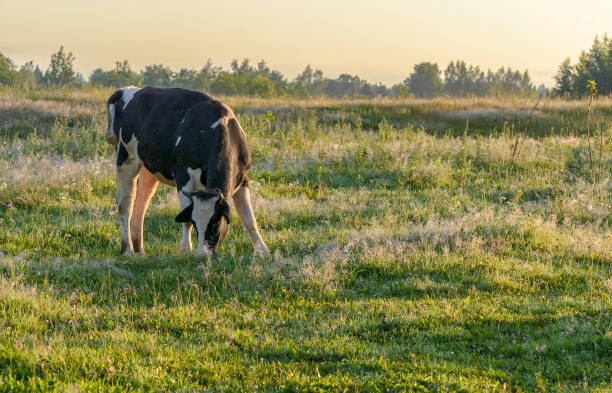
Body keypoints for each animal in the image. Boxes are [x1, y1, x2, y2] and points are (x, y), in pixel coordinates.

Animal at [106, 86, 268, 256]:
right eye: (197, 223)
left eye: (215, 222)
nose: (203, 254)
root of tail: (128, 90)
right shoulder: (183, 175)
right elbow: (186, 219)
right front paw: (186, 248)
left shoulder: (243, 178)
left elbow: (249, 218)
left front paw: (262, 249)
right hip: (125, 158)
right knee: (125, 204)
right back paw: (128, 249)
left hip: (149, 169)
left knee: (141, 203)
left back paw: (139, 250)